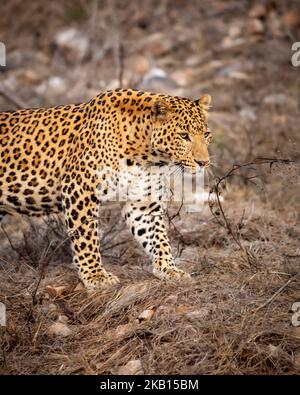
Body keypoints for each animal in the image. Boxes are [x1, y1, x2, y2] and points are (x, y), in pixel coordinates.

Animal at [0, 88, 212, 290]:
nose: (204, 162)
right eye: (184, 136)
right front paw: (95, 276)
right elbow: (86, 237)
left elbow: (158, 236)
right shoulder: (80, 189)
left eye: (206, 135)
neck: (146, 154)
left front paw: (168, 268)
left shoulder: (143, 203)